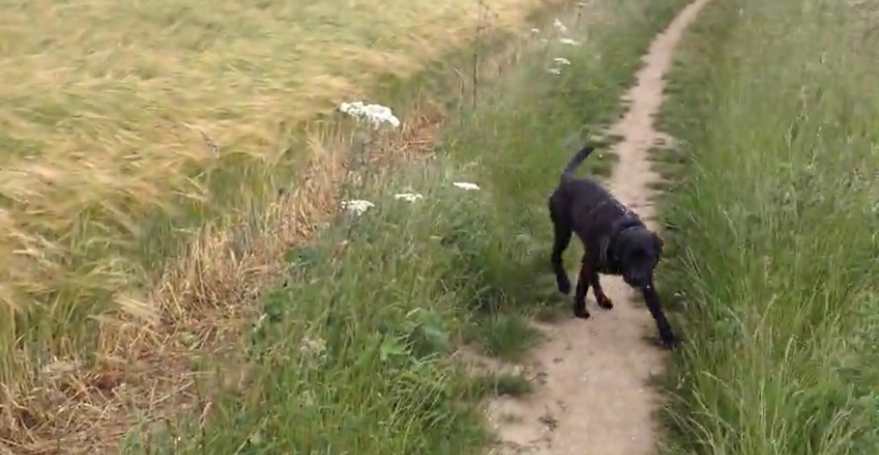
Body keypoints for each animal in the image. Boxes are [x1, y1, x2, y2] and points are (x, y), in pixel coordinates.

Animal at [548, 146, 676, 350]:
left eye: (648, 257)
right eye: (629, 257)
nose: (636, 278)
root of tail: (567, 181)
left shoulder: (648, 280)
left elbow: (657, 309)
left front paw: (668, 336)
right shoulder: (590, 261)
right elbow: (582, 287)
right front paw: (579, 309)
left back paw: (602, 299)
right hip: (563, 231)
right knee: (556, 256)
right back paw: (564, 283)